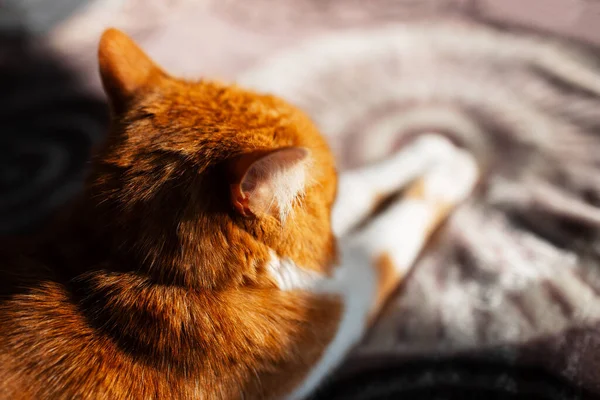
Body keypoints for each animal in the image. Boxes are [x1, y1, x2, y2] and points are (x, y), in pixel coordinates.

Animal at [0, 28, 478, 400]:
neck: (123, 262)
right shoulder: (337, 308)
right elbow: (386, 242)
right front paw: (452, 169)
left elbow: (363, 189)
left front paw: (427, 151)